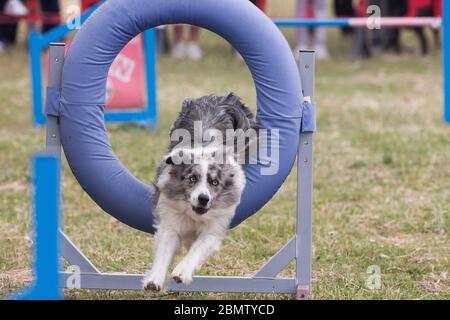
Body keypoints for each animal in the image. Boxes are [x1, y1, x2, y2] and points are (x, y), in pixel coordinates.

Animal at [142, 92, 258, 290]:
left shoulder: (214, 227)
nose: (203, 199)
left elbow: (198, 248)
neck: (194, 215)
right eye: (192, 179)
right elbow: (165, 248)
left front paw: (181, 272)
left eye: (215, 182)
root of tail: (217, 98)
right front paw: (154, 280)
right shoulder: (170, 219)